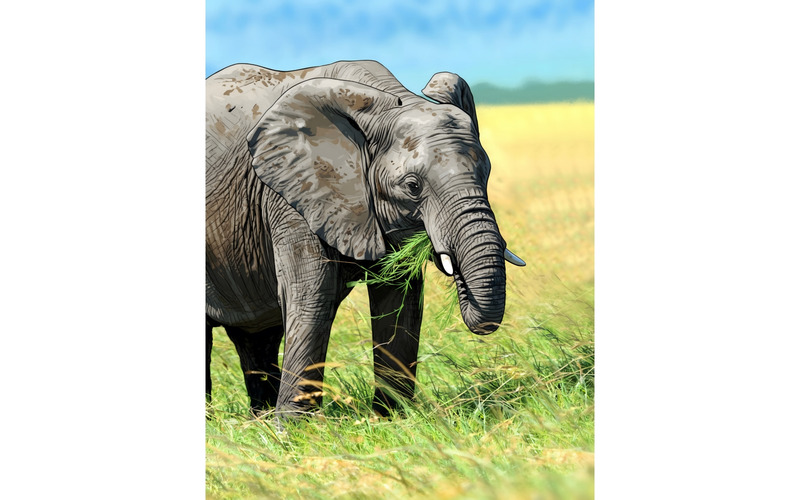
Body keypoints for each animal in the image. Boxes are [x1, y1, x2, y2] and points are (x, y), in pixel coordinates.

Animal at [206, 60, 525, 419]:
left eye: (486, 173)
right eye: (412, 186)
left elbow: (399, 301)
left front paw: (392, 418)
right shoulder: (292, 195)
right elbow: (313, 295)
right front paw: (295, 428)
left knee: (258, 336)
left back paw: (259, 418)